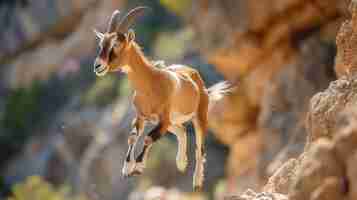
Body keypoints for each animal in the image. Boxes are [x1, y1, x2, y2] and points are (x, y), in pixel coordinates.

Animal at [92, 6, 231, 191]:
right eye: (102, 44)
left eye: (116, 44)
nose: (98, 66)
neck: (151, 83)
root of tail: (197, 79)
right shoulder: (142, 117)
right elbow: (133, 136)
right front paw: (127, 169)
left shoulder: (163, 119)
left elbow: (149, 137)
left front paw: (138, 167)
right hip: (171, 122)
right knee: (182, 130)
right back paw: (181, 163)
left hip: (199, 117)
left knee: (199, 148)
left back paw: (196, 182)